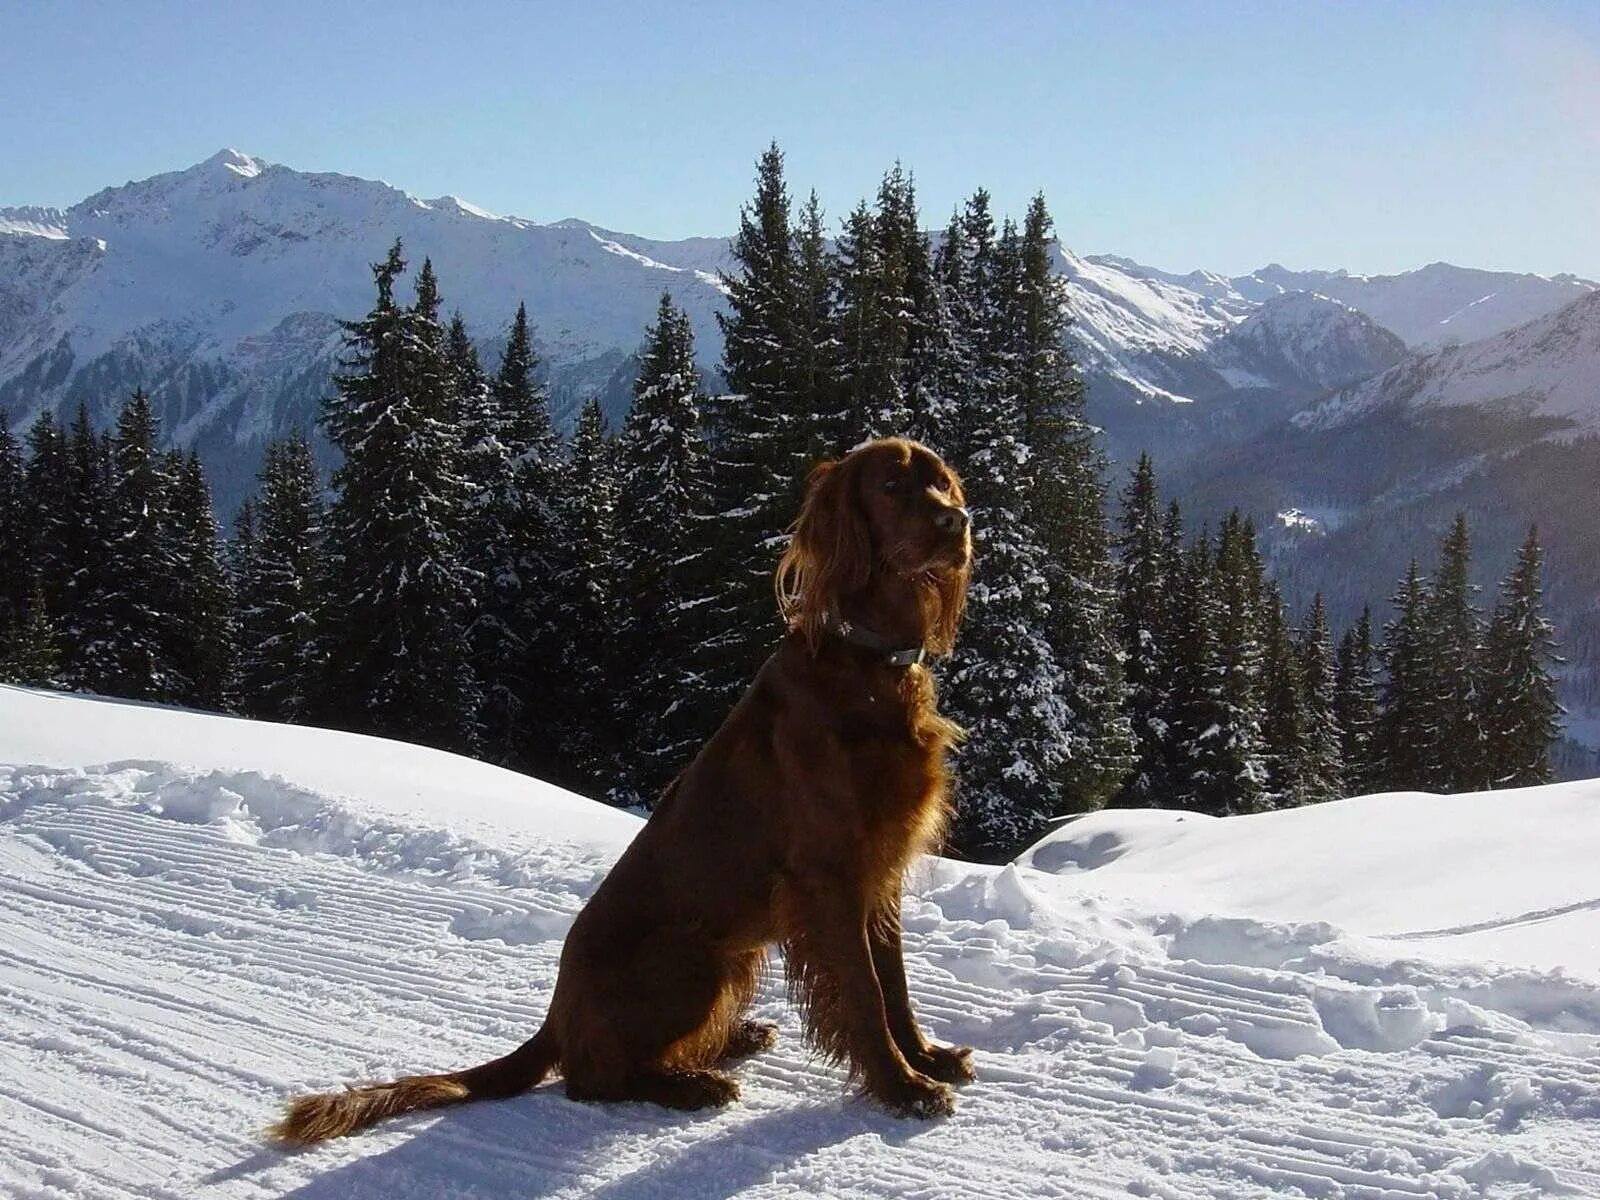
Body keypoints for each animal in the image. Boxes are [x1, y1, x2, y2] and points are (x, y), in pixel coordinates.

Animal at [272, 438, 972, 1145]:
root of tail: (556, 1014)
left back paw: (733, 1039)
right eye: (891, 486)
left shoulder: (880, 871)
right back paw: (694, 1084)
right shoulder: (828, 880)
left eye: (942, 483)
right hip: (694, 957)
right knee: (591, 1079)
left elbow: (895, 983)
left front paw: (925, 1058)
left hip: (731, 957)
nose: (957, 523)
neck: (871, 666)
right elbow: (865, 995)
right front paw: (903, 1088)